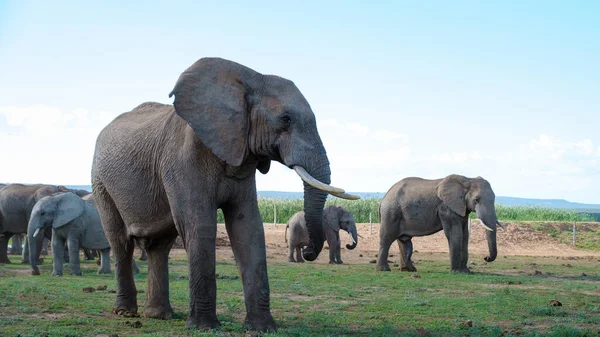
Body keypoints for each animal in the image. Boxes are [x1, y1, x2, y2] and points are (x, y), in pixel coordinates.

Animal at [91, 57, 358, 330]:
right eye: (286, 120)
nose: (308, 252)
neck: (248, 80)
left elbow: (248, 227)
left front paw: (262, 328)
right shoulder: (183, 159)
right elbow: (200, 225)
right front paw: (204, 327)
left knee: (160, 246)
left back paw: (159, 315)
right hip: (101, 183)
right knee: (120, 242)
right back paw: (126, 313)